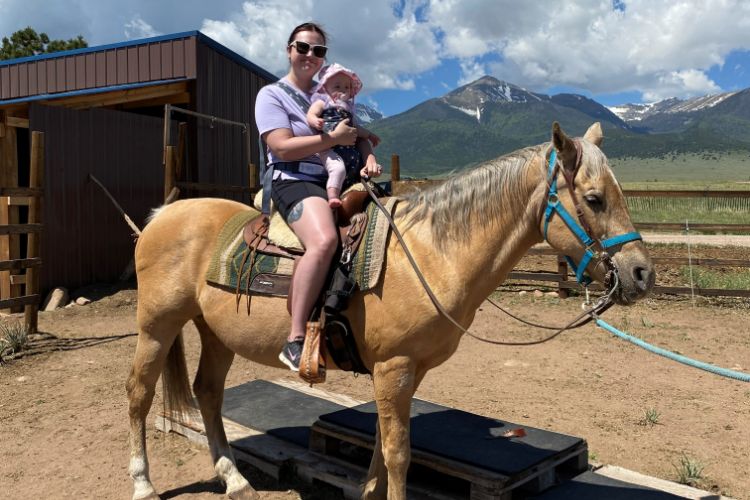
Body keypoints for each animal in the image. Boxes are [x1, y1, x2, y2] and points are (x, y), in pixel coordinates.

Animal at [126, 122, 656, 500]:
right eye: (594, 199)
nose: (641, 274)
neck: (429, 253)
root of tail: (162, 215)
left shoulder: (403, 370)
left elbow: (383, 445)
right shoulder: (395, 367)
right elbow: (400, 454)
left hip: (214, 331)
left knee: (208, 393)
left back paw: (234, 479)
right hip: (157, 325)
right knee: (139, 394)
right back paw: (144, 483)